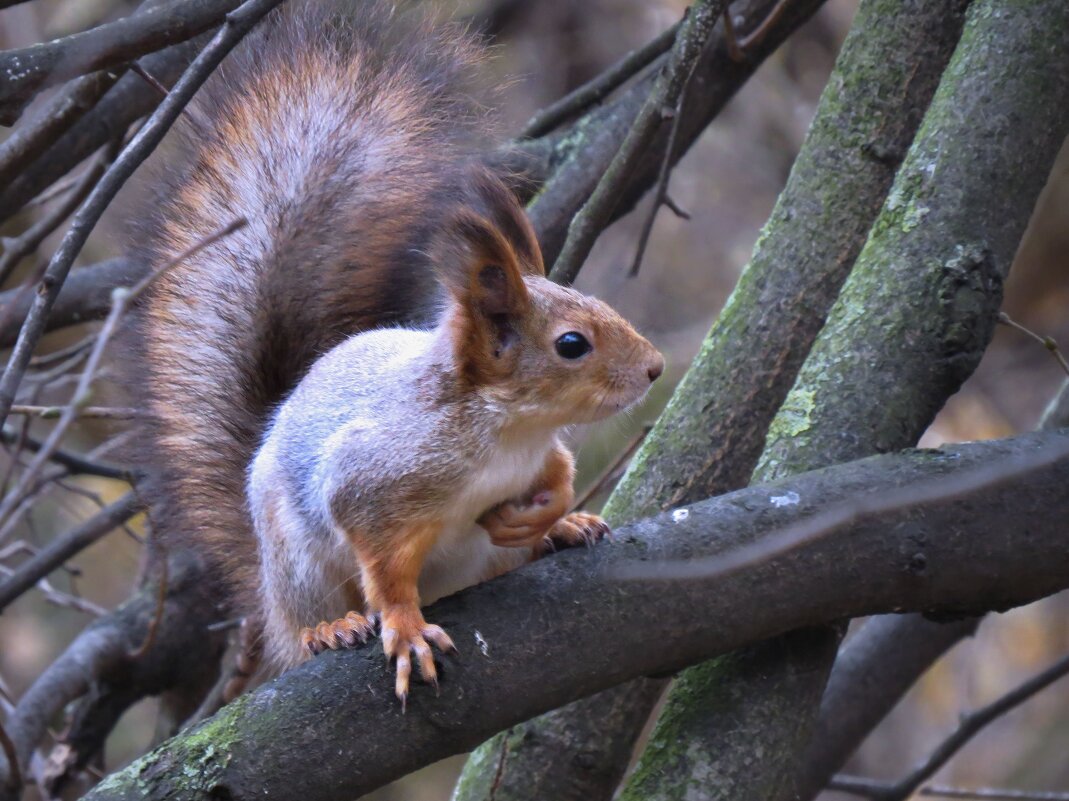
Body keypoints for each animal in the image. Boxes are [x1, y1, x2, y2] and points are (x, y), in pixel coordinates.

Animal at [129, 0, 662, 701]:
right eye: (572, 344)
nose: (654, 368)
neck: (510, 432)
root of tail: (269, 604)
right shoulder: (376, 481)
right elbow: (383, 565)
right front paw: (405, 628)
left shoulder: (538, 454)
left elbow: (558, 474)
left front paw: (547, 513)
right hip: (296, 563)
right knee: (311, 613)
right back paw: (328, 629)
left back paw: (558, 535)